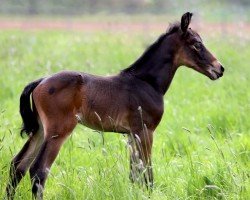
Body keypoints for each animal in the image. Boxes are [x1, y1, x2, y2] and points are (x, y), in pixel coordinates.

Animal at [5, 12, 225, 198]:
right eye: (197, 44)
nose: (219, 68)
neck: (146, 82)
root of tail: (40, 81)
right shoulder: (145, 131)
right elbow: (147, 173)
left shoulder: (131, 134)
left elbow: (135, 174)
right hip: (58, 130)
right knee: (38, 170)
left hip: (40, 129)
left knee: (18, 165)